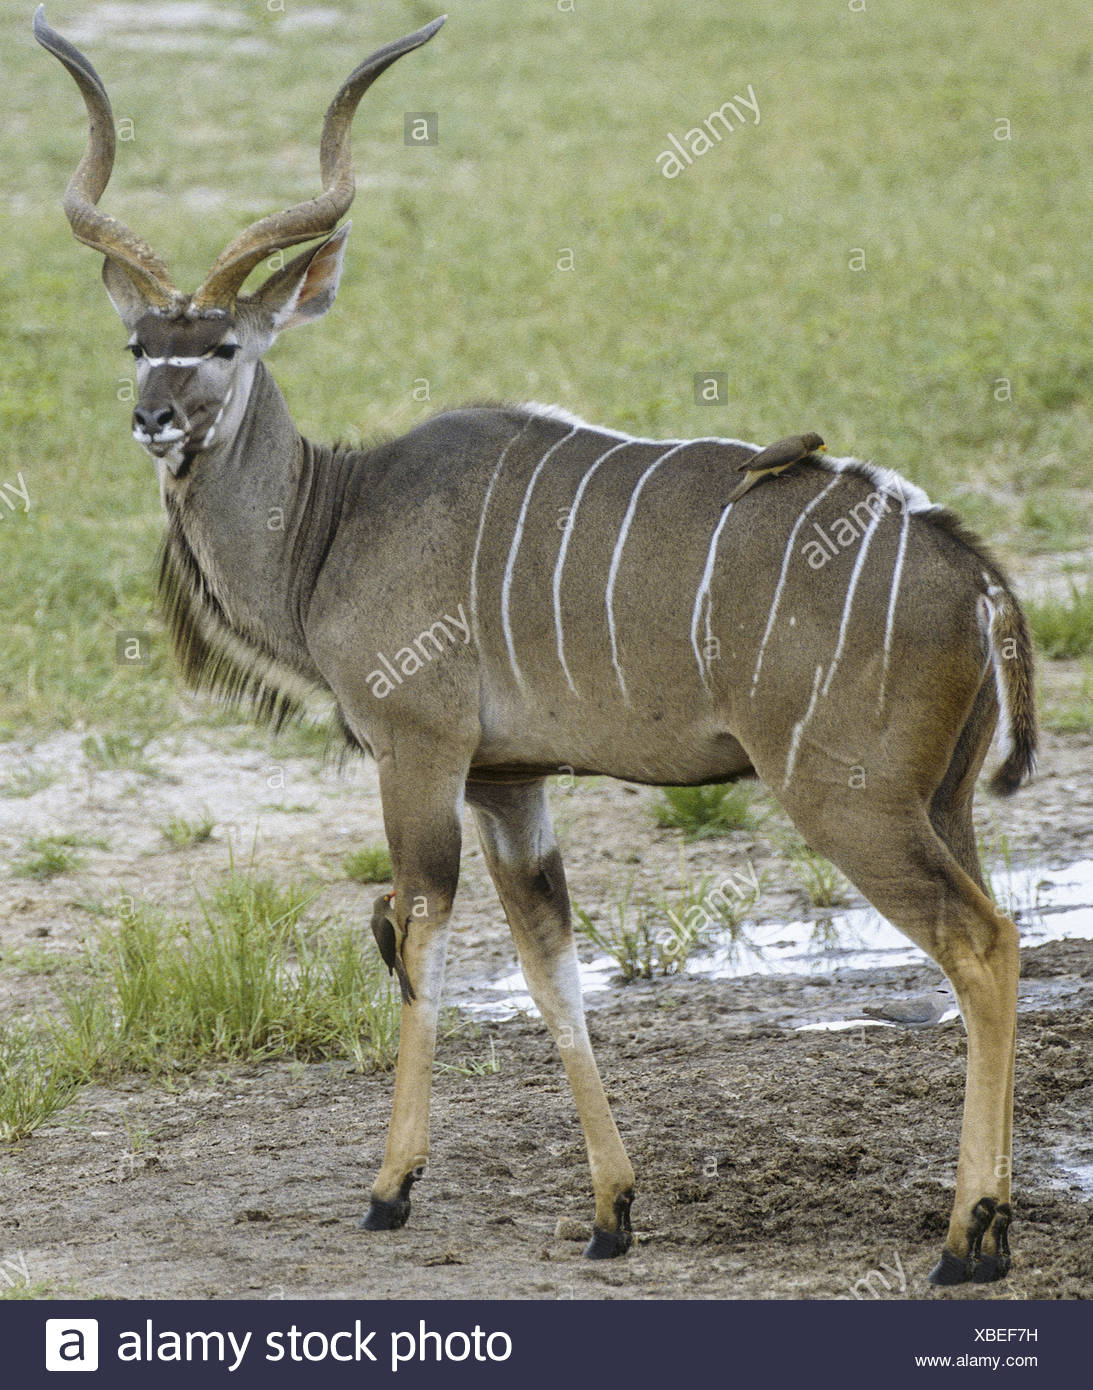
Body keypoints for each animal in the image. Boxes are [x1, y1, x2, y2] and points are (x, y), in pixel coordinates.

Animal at [36, 8, 1040, 1278]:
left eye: (221, 345)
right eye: (139, 346)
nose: (155, 419)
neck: (334, 520)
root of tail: (970, 568)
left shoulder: (419, 750)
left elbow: (416, 931)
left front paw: (391, 1188)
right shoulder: (510, 782)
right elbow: (550, 967)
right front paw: (612, 1210)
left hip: (850, 801)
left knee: (981, 944)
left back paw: (967, 1234)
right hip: (941, 801)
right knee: (995, 933)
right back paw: (987, 1227)